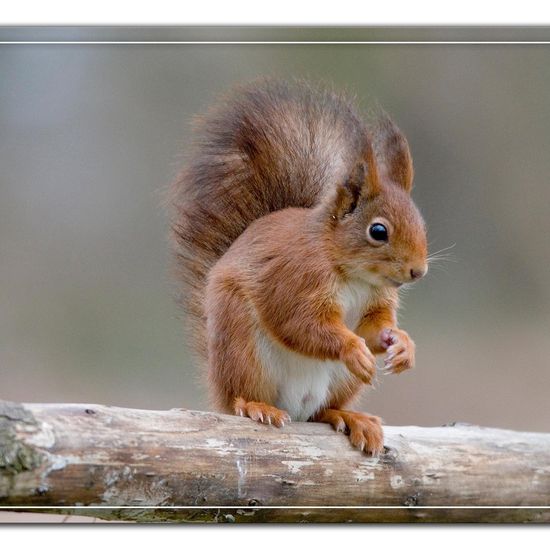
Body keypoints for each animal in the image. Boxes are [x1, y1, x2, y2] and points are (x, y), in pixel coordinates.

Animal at [170, 78, 430, 458]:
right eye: (378, 231)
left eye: (422, 223)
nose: (418, 271)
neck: (355, 276)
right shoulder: (295, 277)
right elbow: (299, 323)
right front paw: (353, 349)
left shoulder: (376, 298)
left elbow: (373, 330)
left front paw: (402, 345)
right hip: (243, 349)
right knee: (240, 397)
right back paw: (255, 406)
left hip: (339, 382)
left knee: (321, 412)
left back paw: (349, 417)